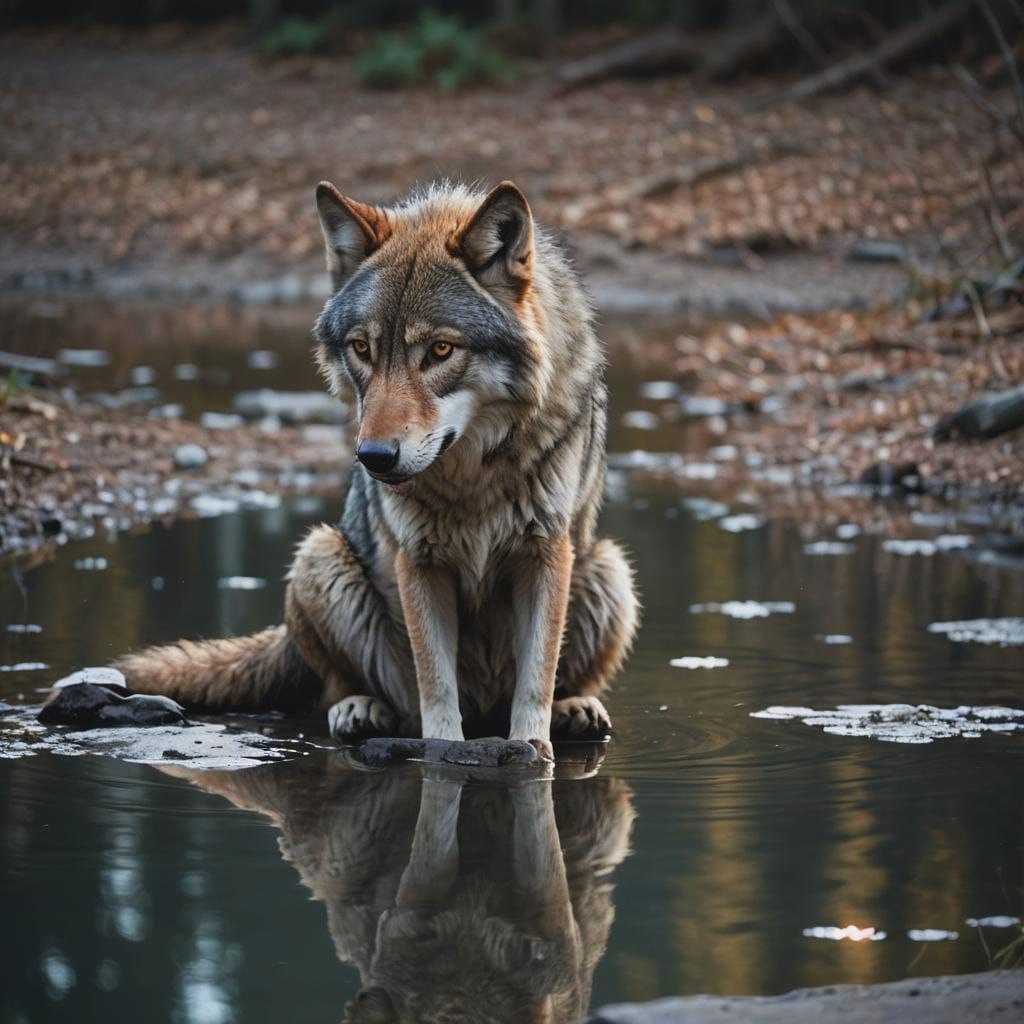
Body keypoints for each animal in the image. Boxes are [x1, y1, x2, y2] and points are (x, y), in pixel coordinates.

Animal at [118, 179, 639, 757]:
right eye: (362, 349)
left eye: (440, 349)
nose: (373, 458)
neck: (471, 478)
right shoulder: (419, 561)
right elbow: (436, 688)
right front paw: (443, 754)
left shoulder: (545, 554)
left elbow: (536, 681)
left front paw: (533, 751)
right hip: (320, 555)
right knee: (355, 691)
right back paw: (360, 710)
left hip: (609, 569)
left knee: (562, 680)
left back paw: (576, 709)